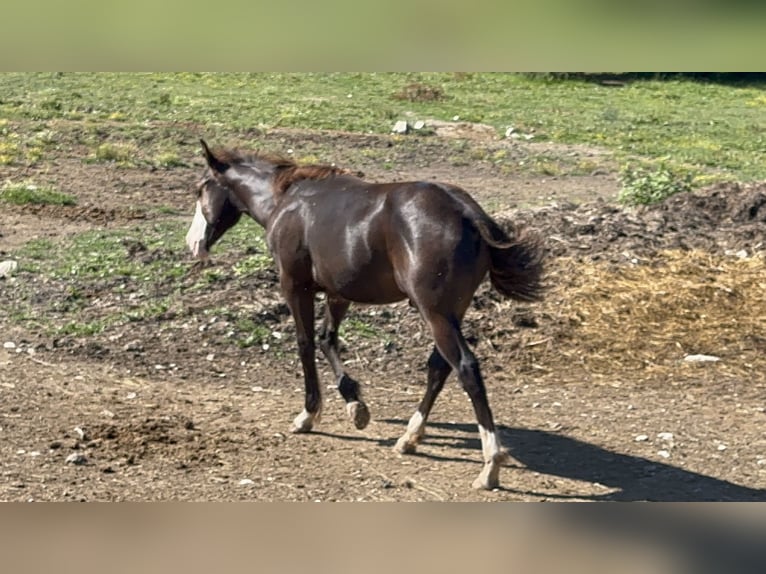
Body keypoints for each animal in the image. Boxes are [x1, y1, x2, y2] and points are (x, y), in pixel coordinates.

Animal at [186, 139, 544, 490]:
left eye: (200, 188)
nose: (193, 244)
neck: (285, 200)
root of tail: (467, 212)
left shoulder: (295, 286)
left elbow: (306, 344)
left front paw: (308, 414)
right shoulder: (338, 293)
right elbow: (328, 339)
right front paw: (355, 404)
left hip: (436, 313)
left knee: (466, 368)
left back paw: (490, 465)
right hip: (451, 311)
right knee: (439, 368)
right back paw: (410, 437)